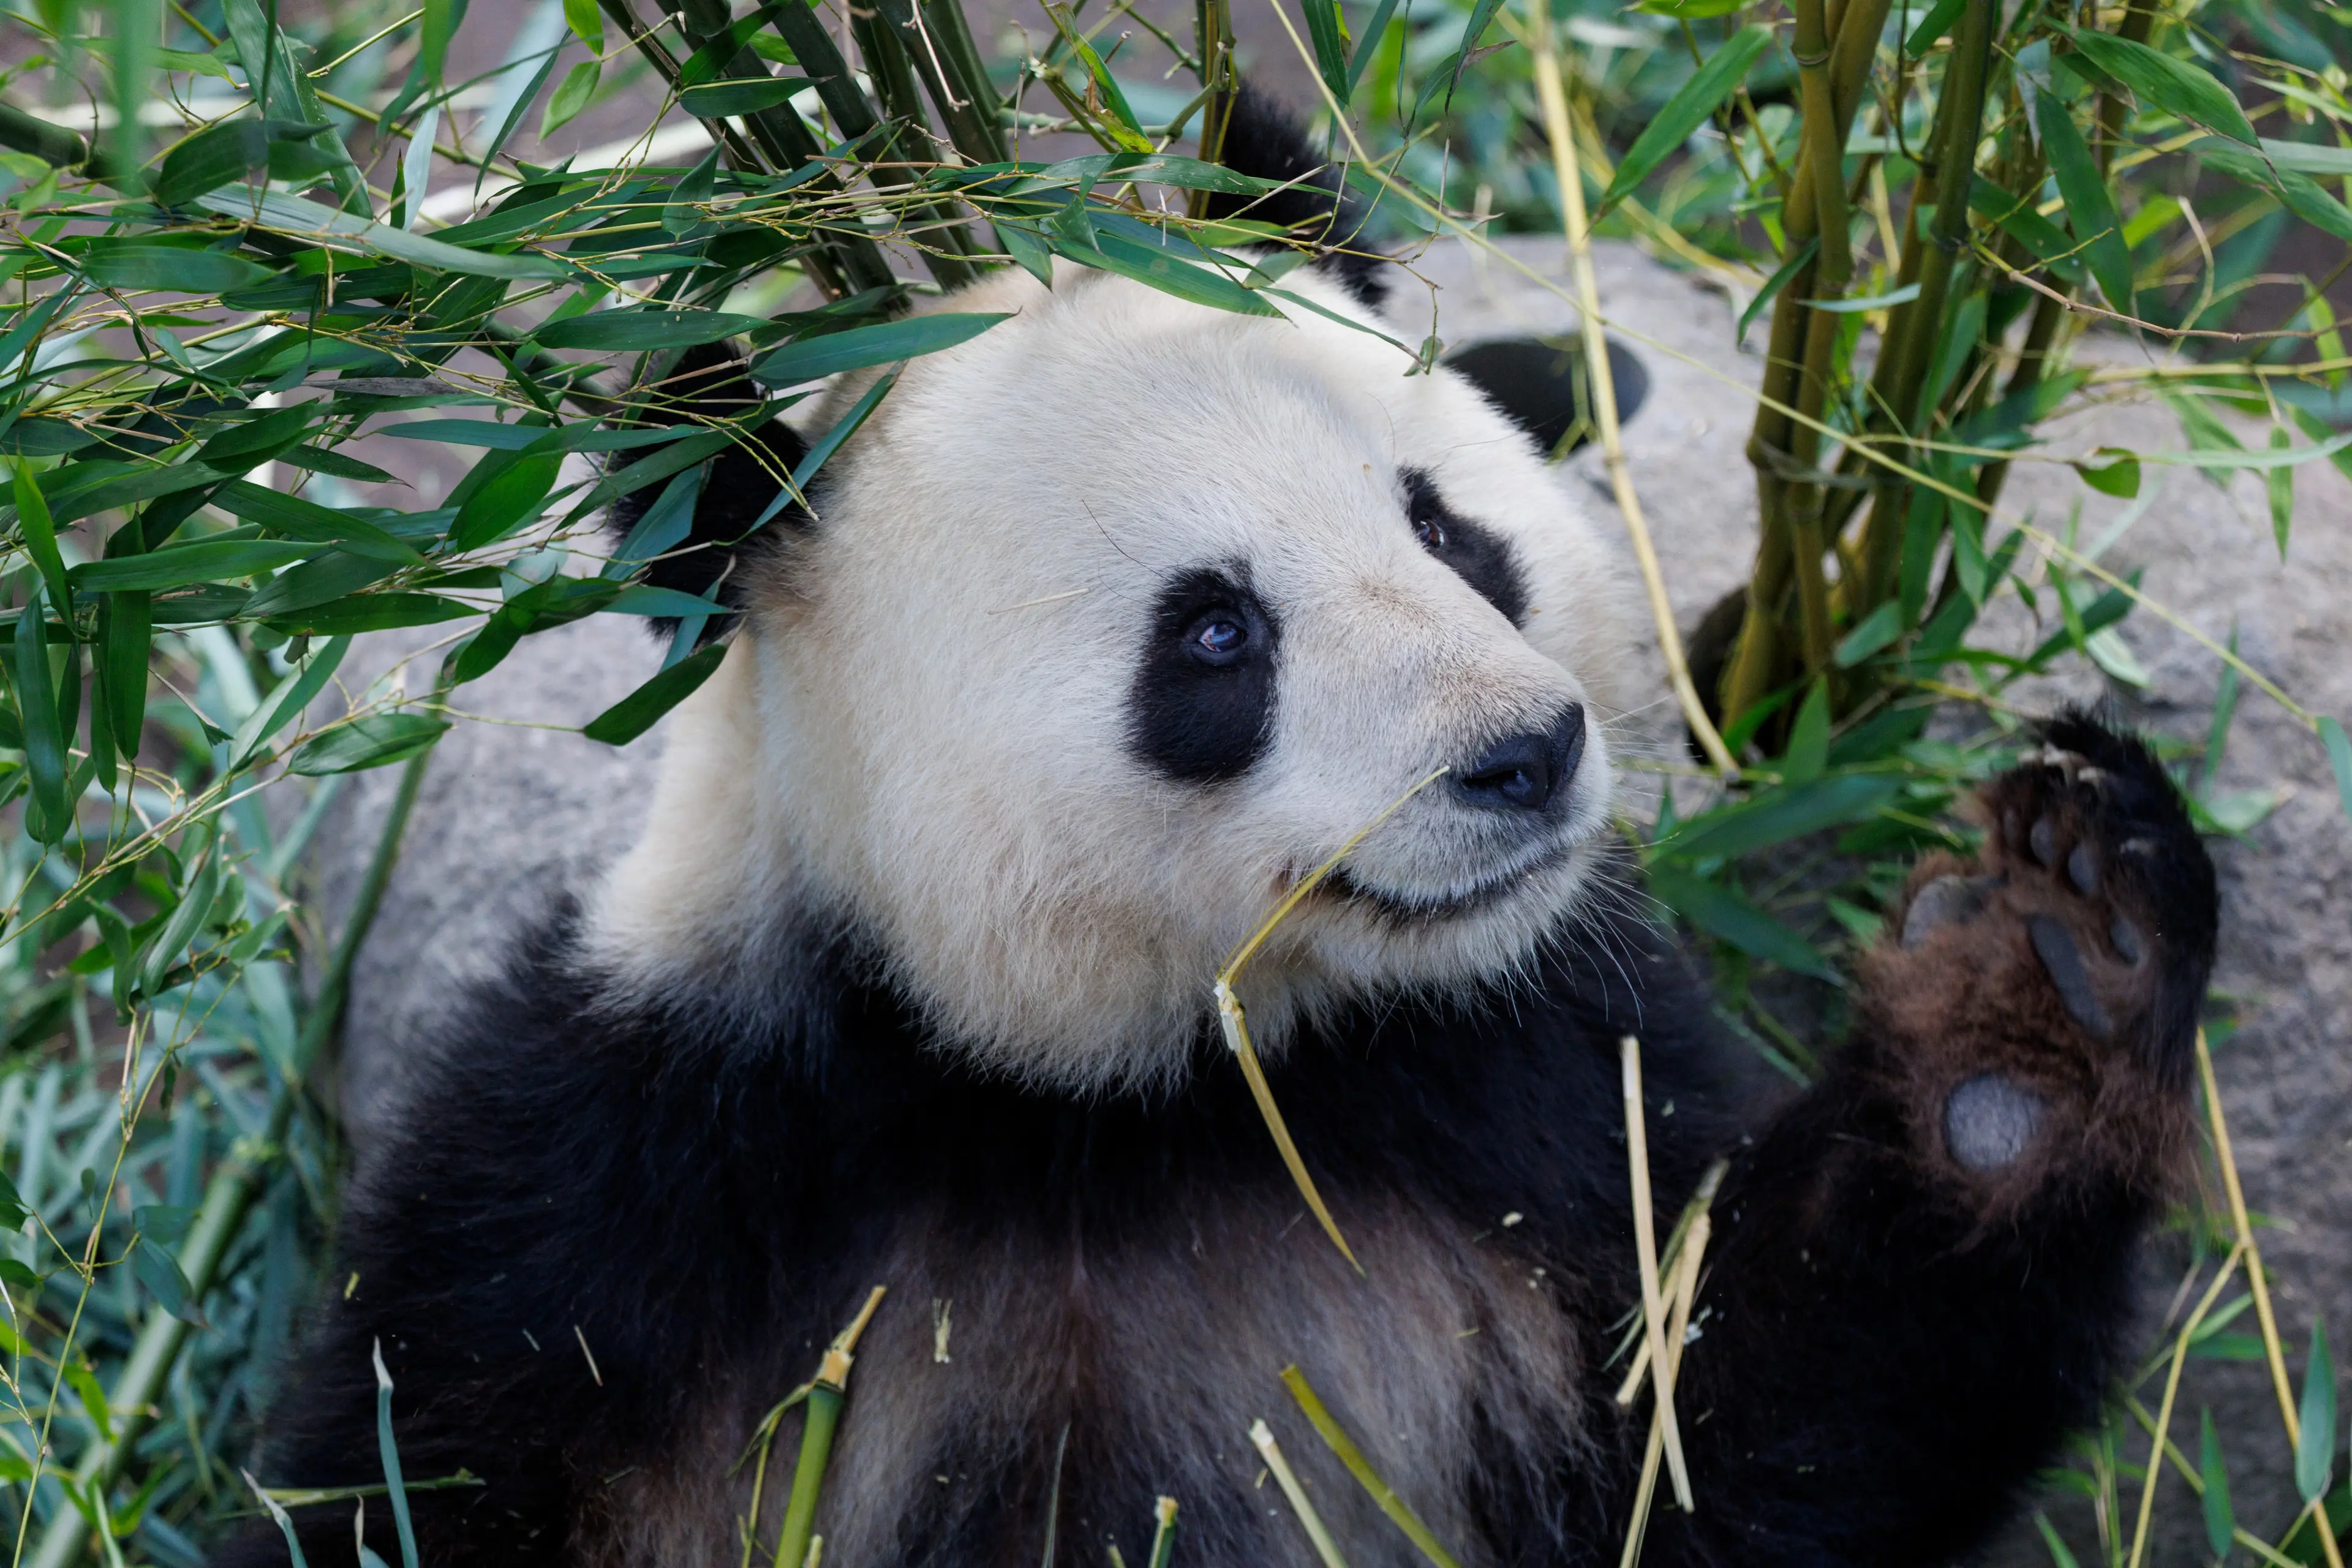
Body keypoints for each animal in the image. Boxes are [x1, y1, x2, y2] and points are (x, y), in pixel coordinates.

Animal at [229, 90, 2219, 1568]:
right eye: (1212, 636)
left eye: (1443, 526)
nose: (1525, 754)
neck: (1119, 1099)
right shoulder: (641, 1172)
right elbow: (417, 1473)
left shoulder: (1536, 1085)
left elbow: (1724, 1449)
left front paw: (2036, 990)